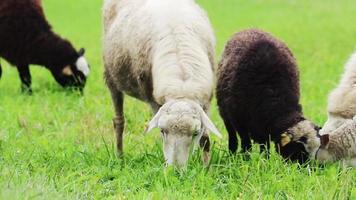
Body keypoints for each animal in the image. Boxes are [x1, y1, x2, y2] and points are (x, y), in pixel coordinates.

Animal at [101, 0, 221, 166]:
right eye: (162, 131)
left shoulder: (206, 103)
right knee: (119, 121)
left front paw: (206, 167)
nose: (176, 168)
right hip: (112, 77)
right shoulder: (153, 100)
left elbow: (205, 140)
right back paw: (119, 157)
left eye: (195, 133)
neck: (181, 87)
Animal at [217, 28, 320, 162]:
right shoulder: (239, 121)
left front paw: (264, 160)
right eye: (299, 149)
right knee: (232, 136)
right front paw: (246, 160)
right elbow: (246, 144)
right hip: (225, 114)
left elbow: (264, 146)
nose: (311, 167)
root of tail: (250, 28)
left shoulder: (262, 124)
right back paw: (231, 153)